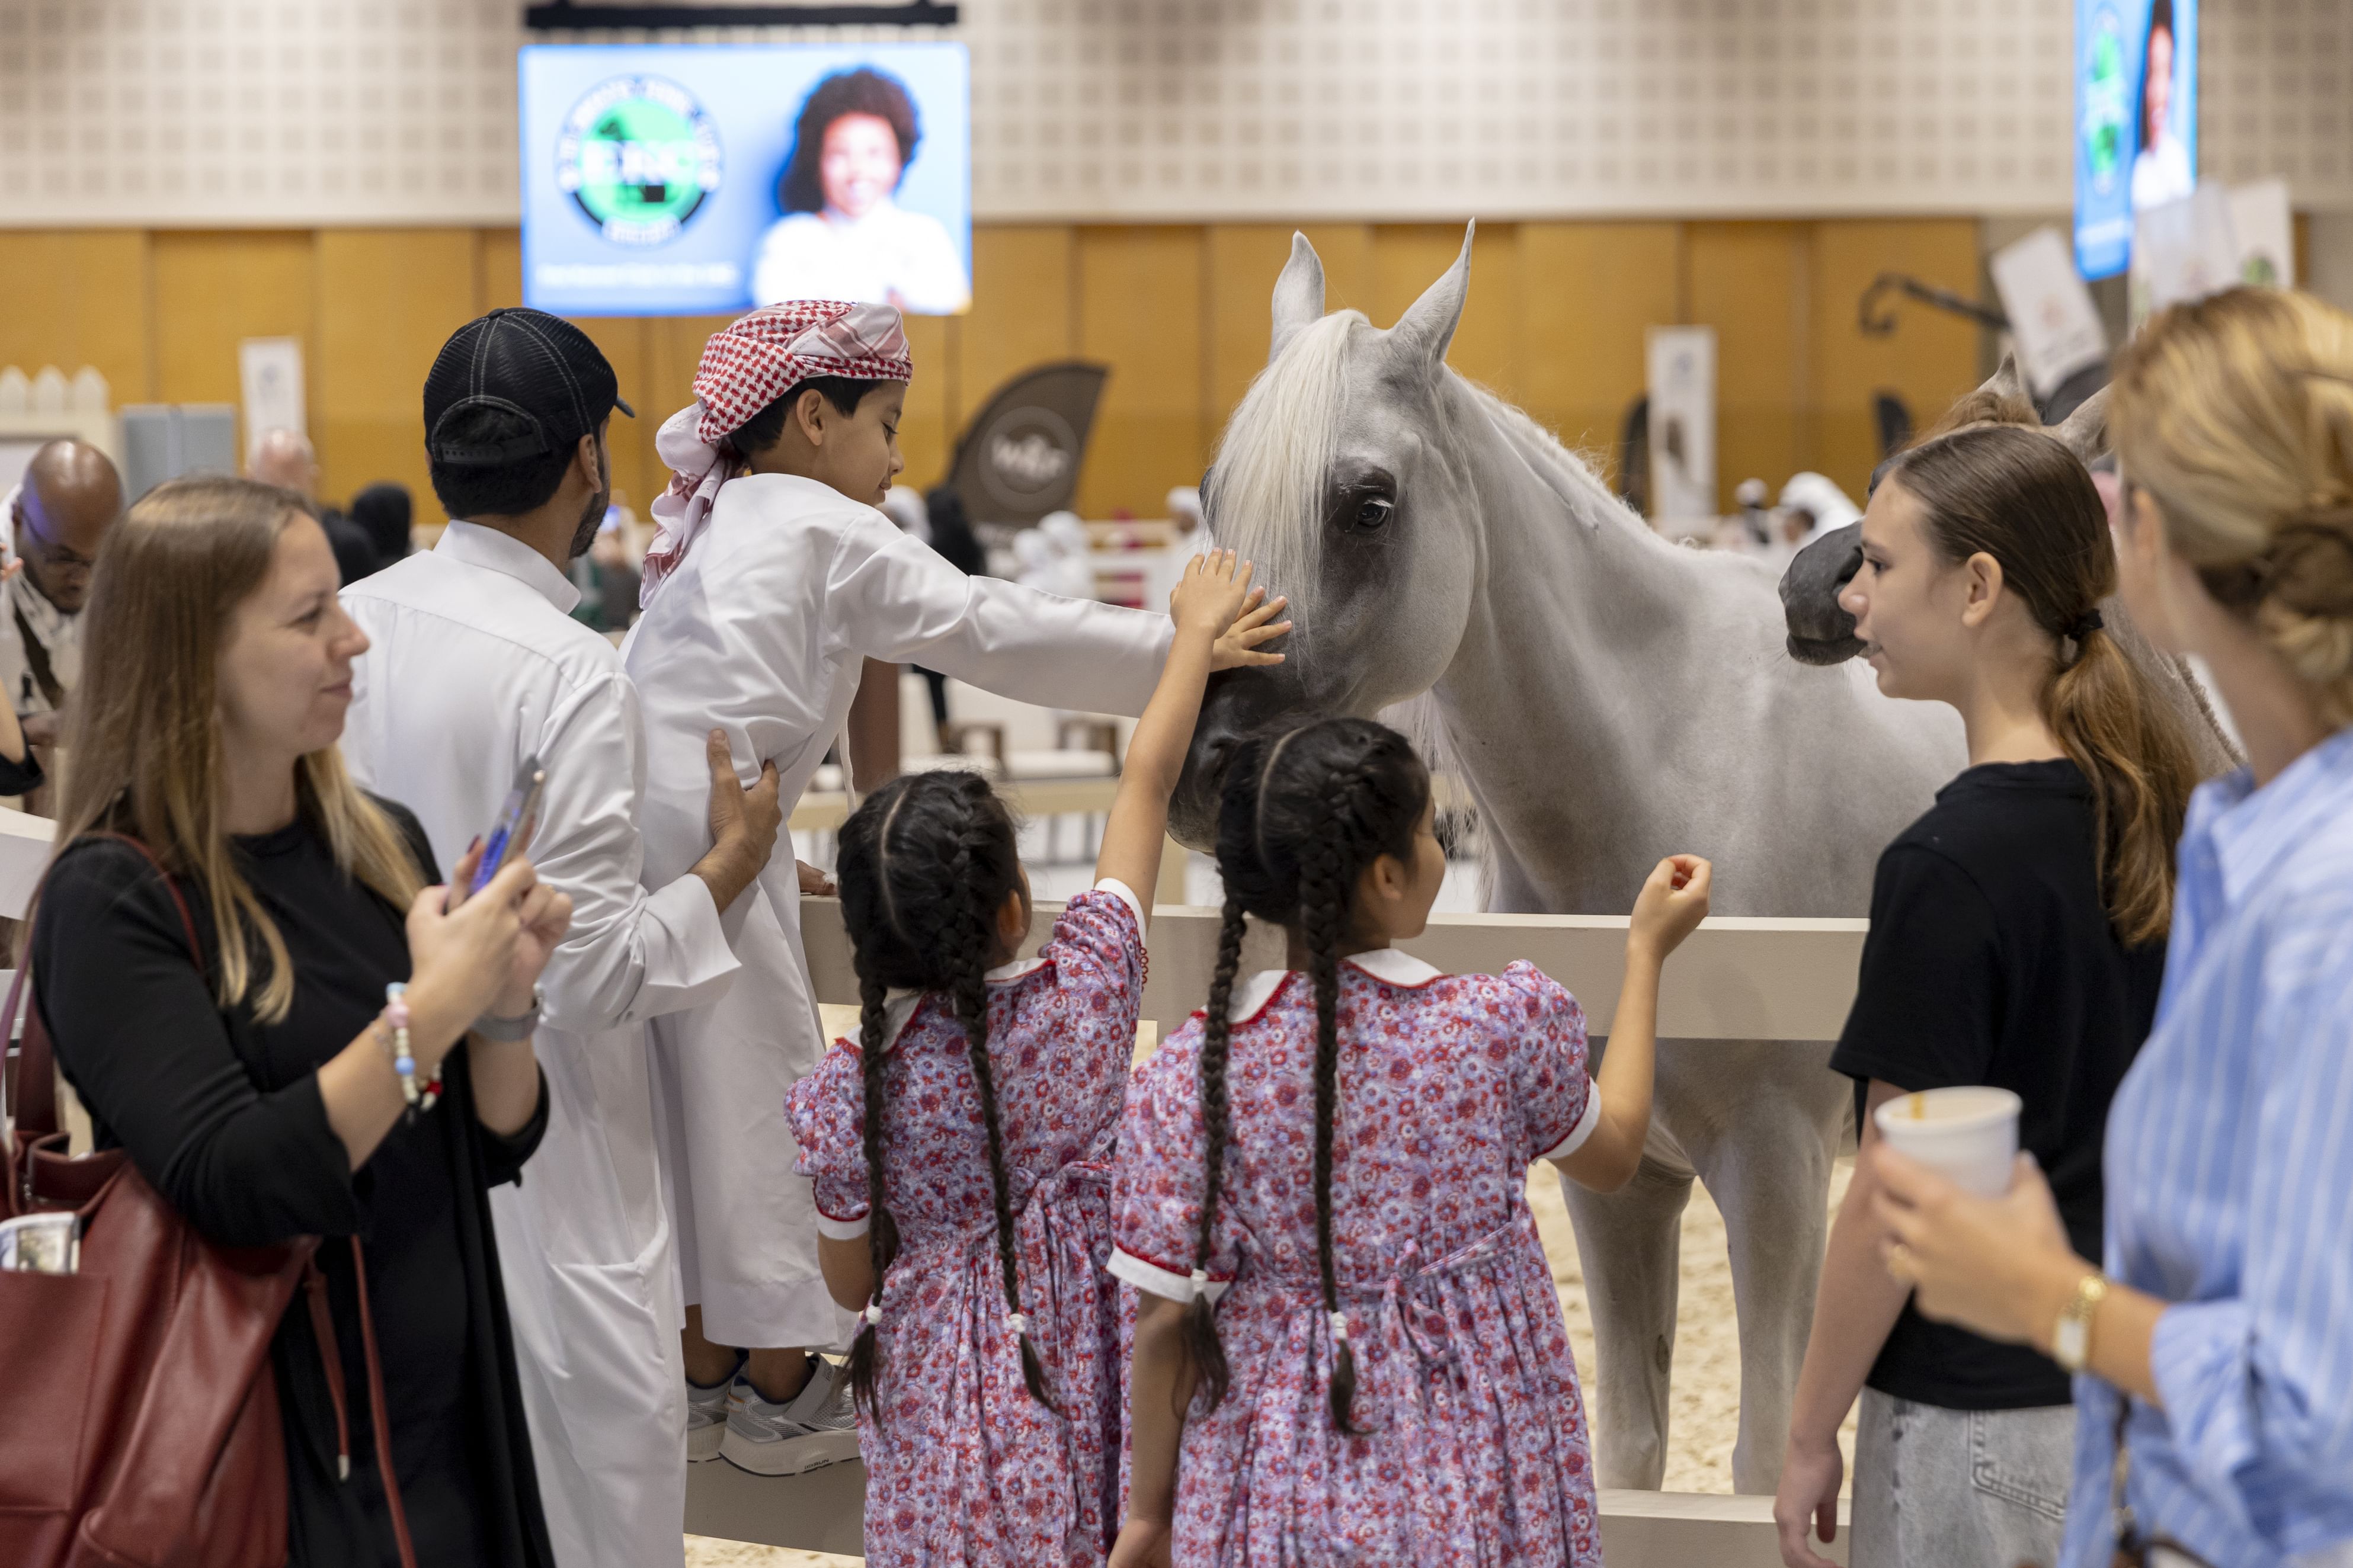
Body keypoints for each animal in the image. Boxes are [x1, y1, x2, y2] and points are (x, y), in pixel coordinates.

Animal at [1170, 227, 1971, 1493]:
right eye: (1212, 496)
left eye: (1368, 505)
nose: (1210, 772)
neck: (1666, 767)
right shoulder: (1616, 1178)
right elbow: (1629, 1450)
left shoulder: (1779, 1176)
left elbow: (1760, 1459)